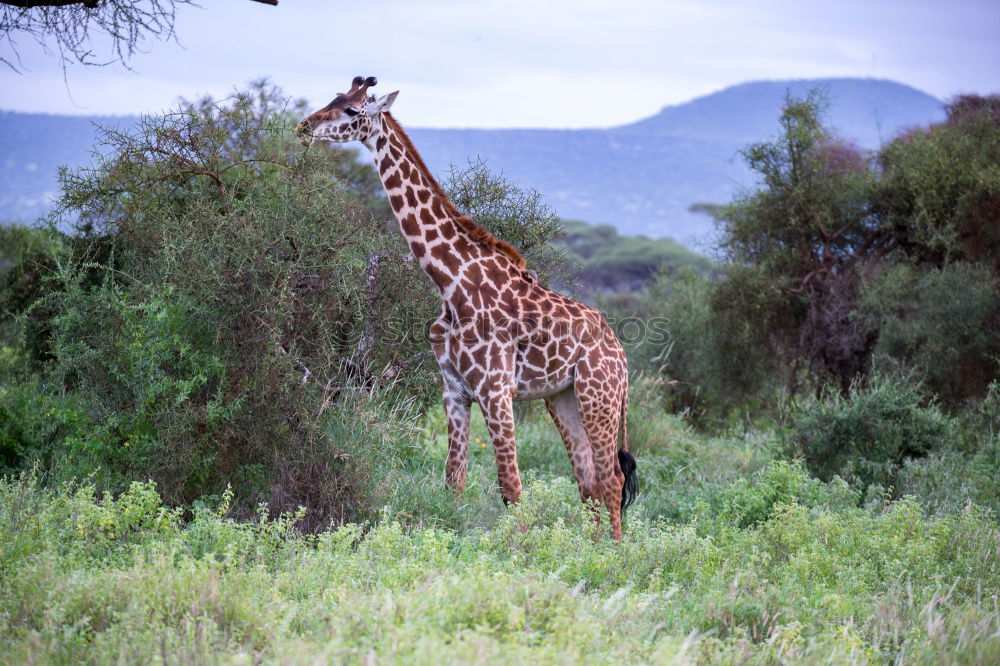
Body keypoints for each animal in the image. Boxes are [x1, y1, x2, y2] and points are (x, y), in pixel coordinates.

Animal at [298, 76, 640, 540]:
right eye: (334, 98)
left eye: (352, 110)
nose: (305, 125)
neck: (450, 282)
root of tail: (619, 352)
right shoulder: (454, 390)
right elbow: (453, 482)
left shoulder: (495, 390)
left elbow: (511, 487)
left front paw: (518, 551)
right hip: (563, 398)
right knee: (587, 480)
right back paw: (588, 548)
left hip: (599, 394)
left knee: (612, 478)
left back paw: (615, 551)